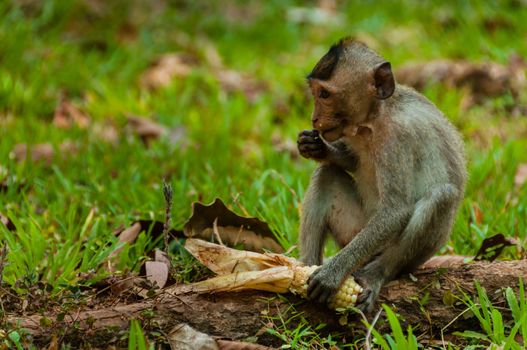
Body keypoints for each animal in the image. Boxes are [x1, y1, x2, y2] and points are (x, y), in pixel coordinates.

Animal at [296, 38, 466, 312]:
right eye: (315, 92)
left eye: (325, 95)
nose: (314, 118)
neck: (374, 120)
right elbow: (351, 161)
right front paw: (316, 147)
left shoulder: (397, 138)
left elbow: (396, 210)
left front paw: (332, 274)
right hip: (353, 230)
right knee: (327, 174)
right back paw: (305, 264)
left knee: (442, 195)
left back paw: (376, 273)